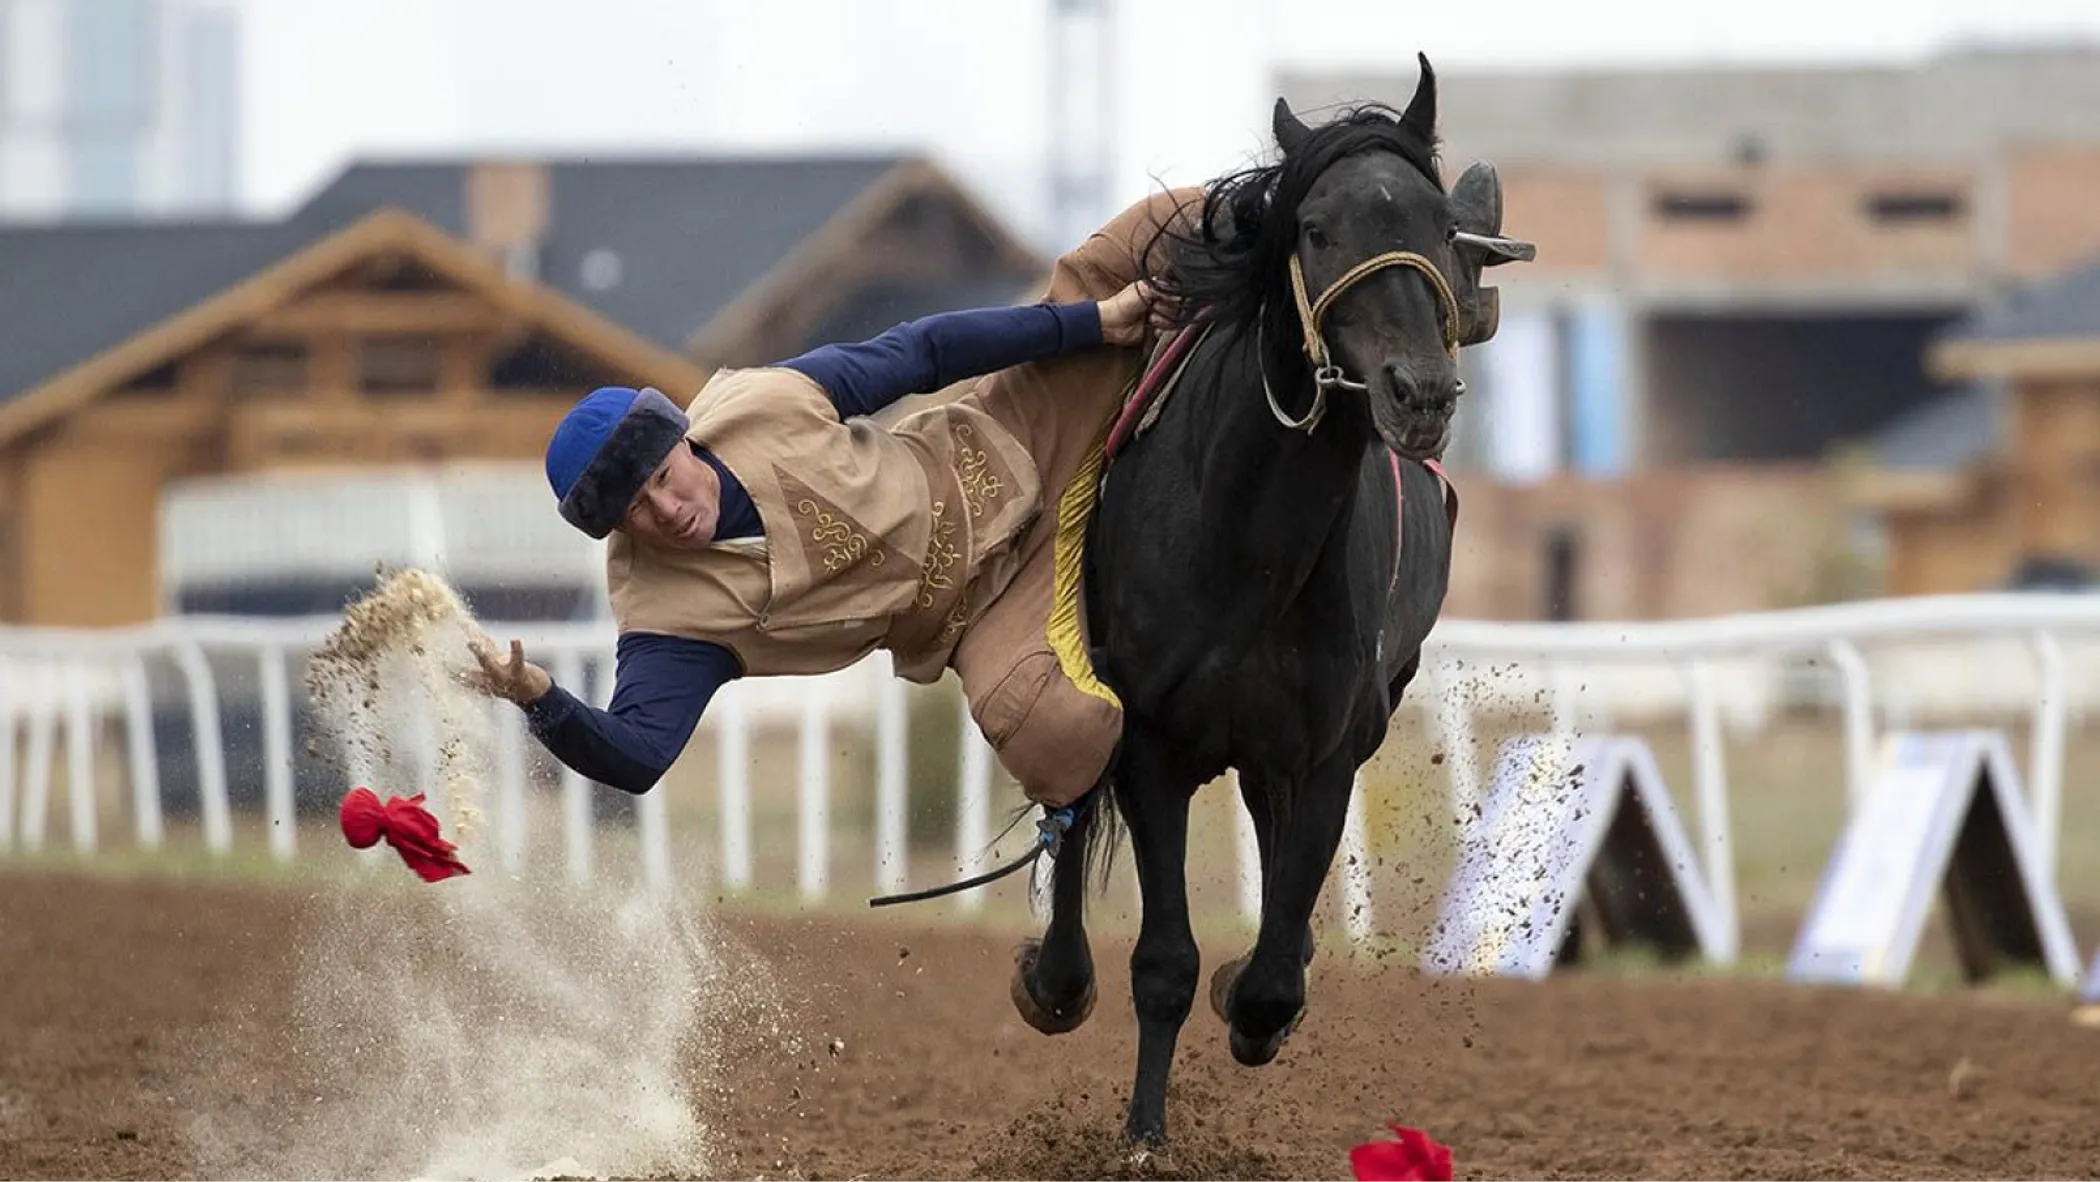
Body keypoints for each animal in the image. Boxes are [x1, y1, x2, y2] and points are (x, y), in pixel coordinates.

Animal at [1007, 60, 1537, 1150]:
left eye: (1439, 225)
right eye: (1319, 228)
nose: (1420, 394)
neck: (1254, 540)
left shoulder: (1330, 746)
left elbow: (1276, 957)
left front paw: (1257, 1008)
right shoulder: (1154, 744)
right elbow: (1162, 959)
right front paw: (1144, 1133)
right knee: (1069, 804)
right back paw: (1056, 979)